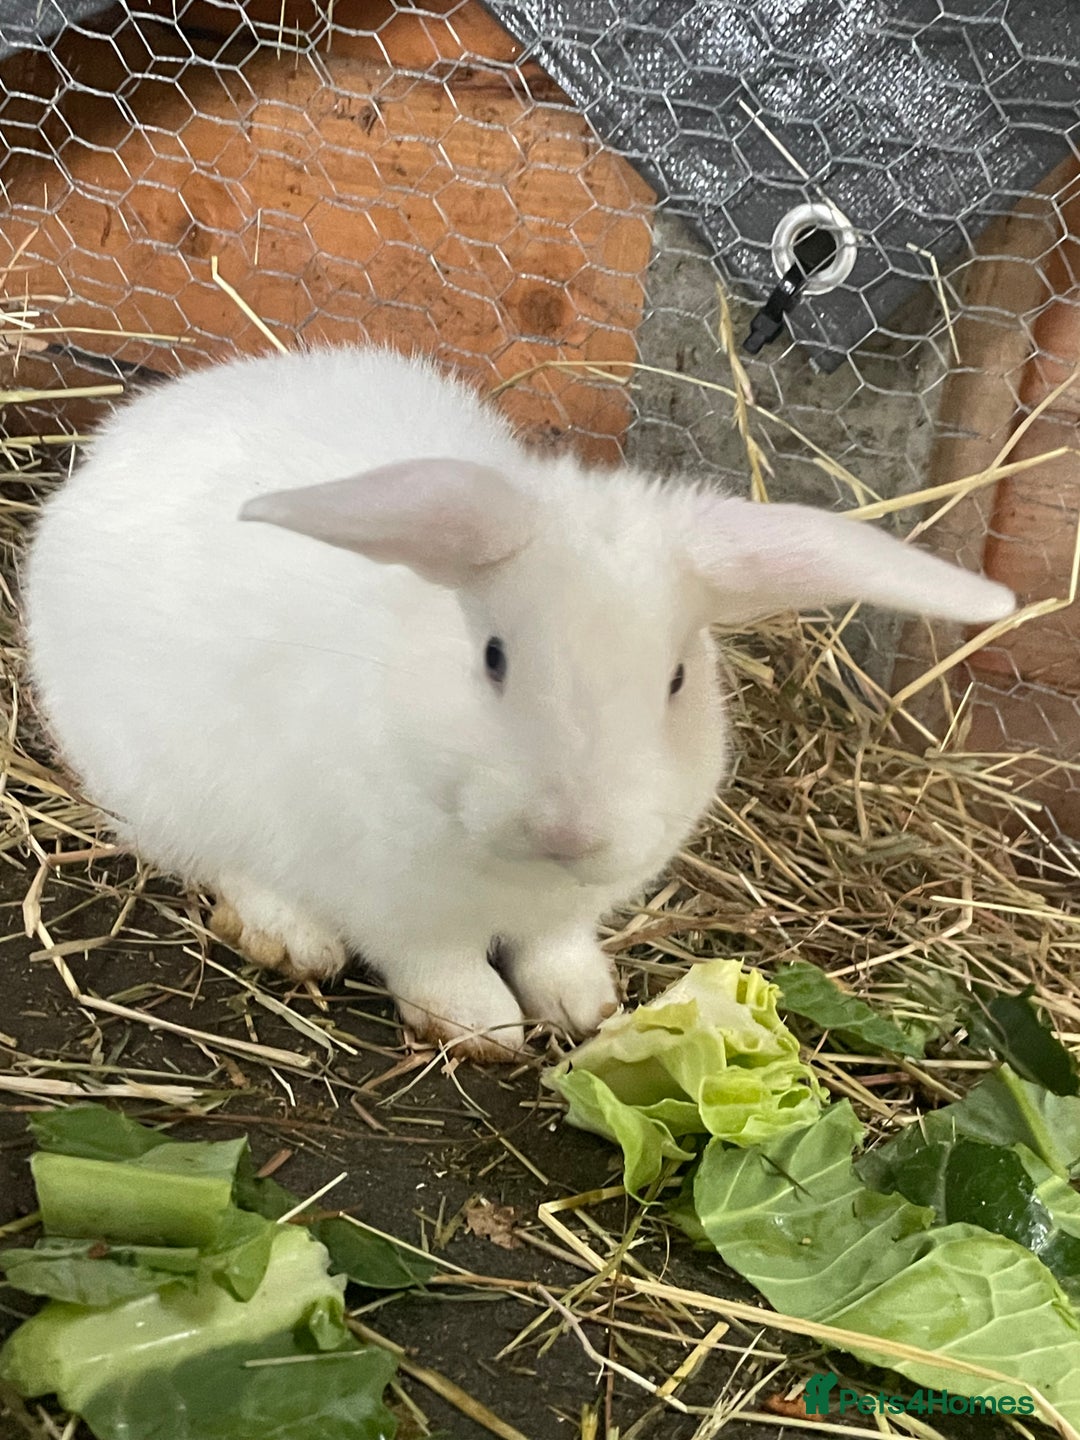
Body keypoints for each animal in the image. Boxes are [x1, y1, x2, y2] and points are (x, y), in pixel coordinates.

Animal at [21, 344, 1015, 1060]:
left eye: (676, 680)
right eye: (494, 657)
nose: (571, 832)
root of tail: (130, 433)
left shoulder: (569, 910)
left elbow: (555, 953)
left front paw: (583, 1006)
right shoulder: (396, 905)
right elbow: (442, 966)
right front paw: (483, 1028)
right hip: (156, 780)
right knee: (216, 862)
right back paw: (291, 937)